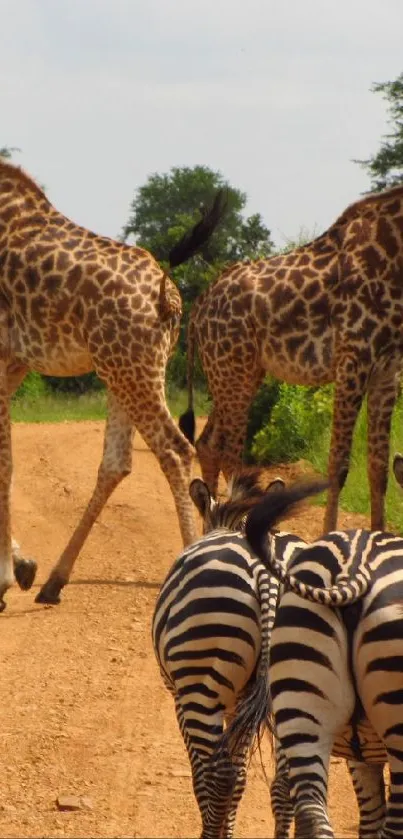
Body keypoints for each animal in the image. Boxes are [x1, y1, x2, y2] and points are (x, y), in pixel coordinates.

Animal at [0, 158, 227, 612]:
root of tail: (167, 295)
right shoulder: (13, 363)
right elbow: (9, 460)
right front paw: (21, 566)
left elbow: (3, 461)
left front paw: (6, 576)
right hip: (128, 367)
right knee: (117, 462)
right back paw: (53, 581)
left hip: (128, 367)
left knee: (174, 449)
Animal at [152, 472, 326, 839]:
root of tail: (267, 573)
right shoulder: (241, 704)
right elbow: (242, 776)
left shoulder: (181, 699)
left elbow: (205, 776)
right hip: (301, 682)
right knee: (287, 783)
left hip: (201, 682)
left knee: (219, 776)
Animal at [181, 187, 403, 536]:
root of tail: (198, 308)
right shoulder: (352, 359)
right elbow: (338, 465)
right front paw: (329, 536)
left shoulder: (387, 370)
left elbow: (378, 466)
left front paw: (378, 537)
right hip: (232, 368)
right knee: (229, 452)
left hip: (237, 372)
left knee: (208, 442)